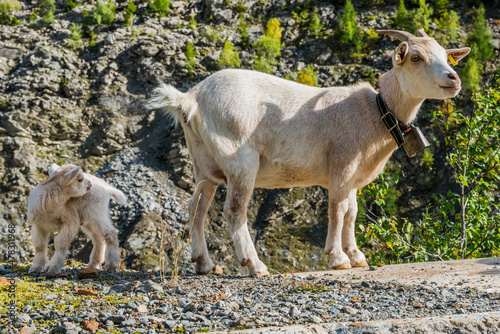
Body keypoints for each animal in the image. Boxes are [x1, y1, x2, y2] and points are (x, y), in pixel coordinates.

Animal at [147, 28, 468, 276]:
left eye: (445, 55)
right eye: (416, 57)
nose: (454, 79)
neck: (377, 111)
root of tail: (191, 98)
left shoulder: (352, 177)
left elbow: (352, 212)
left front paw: (357, 256)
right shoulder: (342, 165)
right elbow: (337, 210)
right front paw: (338, 258)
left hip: (205, 165)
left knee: (196, 209)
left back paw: (204, 263)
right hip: (240, 159)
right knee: (234, 210)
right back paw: (254, 265)